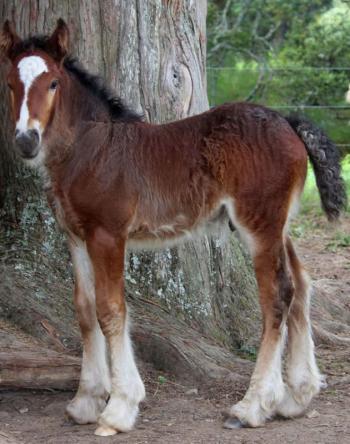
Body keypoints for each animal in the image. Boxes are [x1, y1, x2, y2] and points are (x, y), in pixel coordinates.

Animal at [0, 20, 348, 438]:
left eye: (53, 83)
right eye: (9, 83)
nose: (26, 140)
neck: (91, 149)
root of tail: (288, 122)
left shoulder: (107, 235)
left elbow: (111, 310)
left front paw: (119, 408)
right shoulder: (75, 236)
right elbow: (84, 309)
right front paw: (86, 400)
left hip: (259, 226)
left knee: (278, 296)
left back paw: (252, 405)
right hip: (278, 226)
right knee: (302, 283)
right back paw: (297, 396)